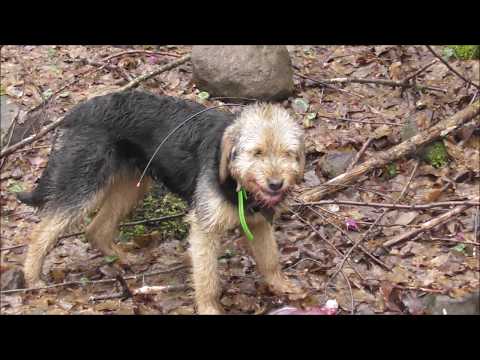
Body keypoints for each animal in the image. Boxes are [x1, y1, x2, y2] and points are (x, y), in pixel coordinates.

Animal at [18, 90, 306, 316]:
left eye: (288, 153)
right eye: (257, 153)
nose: (276, 184)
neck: (236, 181)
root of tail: (76, 111)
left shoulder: (259, 223)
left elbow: (271, 259)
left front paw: (283, 286)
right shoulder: (205, 229)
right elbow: (208, 278)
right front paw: (209, 307)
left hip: (131, 186)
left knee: (96, 229)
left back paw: (122, 258)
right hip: (83, 186)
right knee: (41, 232)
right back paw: (32, 278)